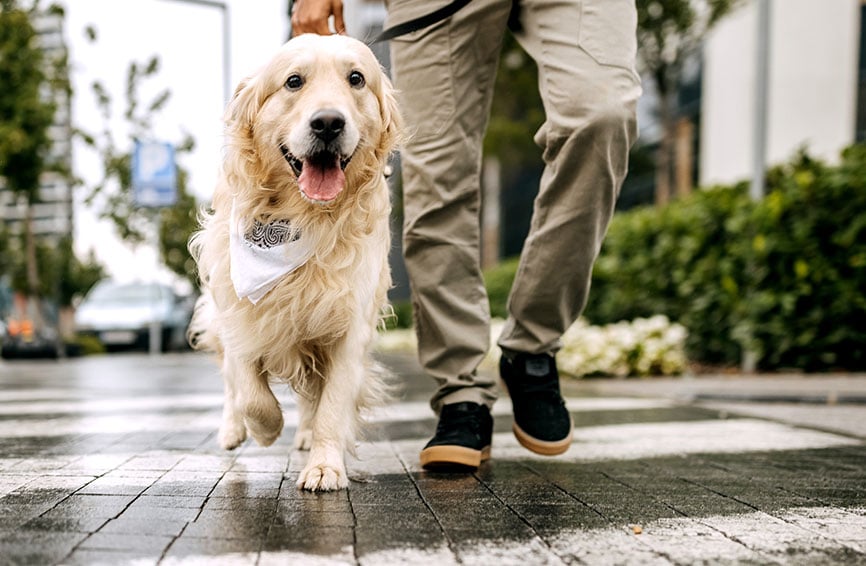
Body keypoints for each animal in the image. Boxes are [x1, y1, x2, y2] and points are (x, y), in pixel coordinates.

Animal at [187, 34, 400, 492]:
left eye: (356, 78)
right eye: (293, 81)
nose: (328, 123)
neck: (301, 219)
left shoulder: (347, 322)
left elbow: (332, 405)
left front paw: (324, 466)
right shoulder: (239, 309)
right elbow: (249, 390)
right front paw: (264, 428)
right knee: (231, 383)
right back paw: (233, 430)